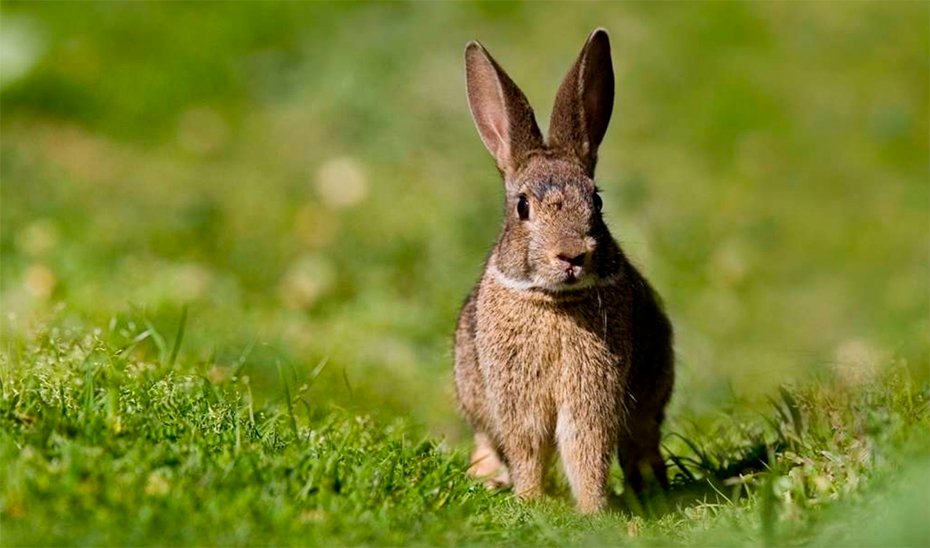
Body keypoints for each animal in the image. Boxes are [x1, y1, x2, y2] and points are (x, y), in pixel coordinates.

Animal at [453, 28, 674, 514]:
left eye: (597, 201)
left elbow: (586, 447)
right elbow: (528, 448)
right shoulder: (515, 399)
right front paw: (531, 500)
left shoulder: (593, 395)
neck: (555, 301)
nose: (571, 255)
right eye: (522, 206)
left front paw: (593, 510)